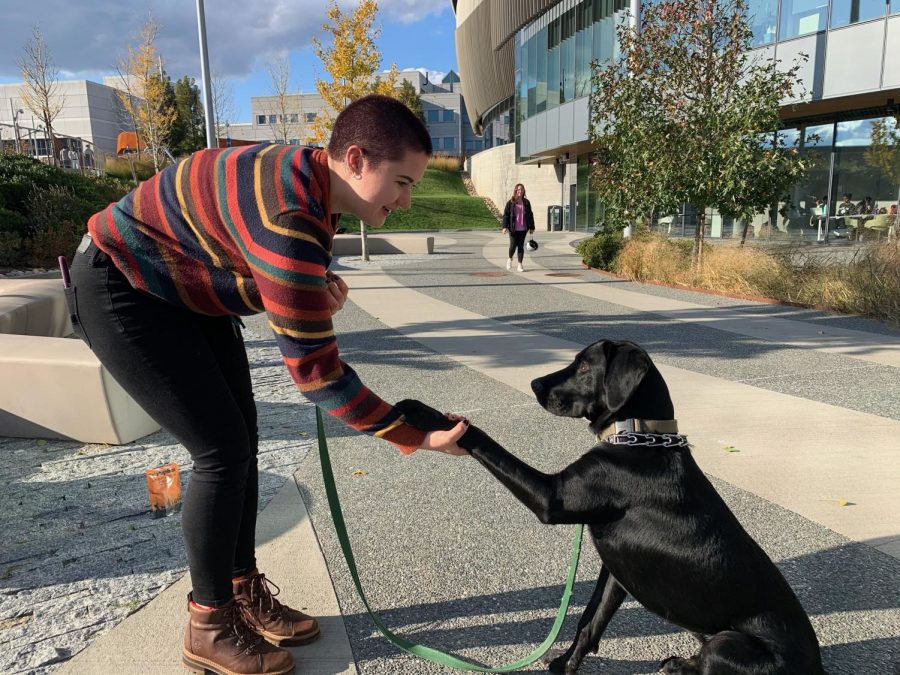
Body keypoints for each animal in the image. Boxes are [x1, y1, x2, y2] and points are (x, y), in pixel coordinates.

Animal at [394, 338, 824, 675]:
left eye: (586, 365)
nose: (534, 383)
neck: (639, 437)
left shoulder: (551, 497)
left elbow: (482, 438)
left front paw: (424, 413)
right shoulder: (615, 570)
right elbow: (589, 622)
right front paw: (564, 665)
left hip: (728, 643)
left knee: (712, 657)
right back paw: (680, 663)